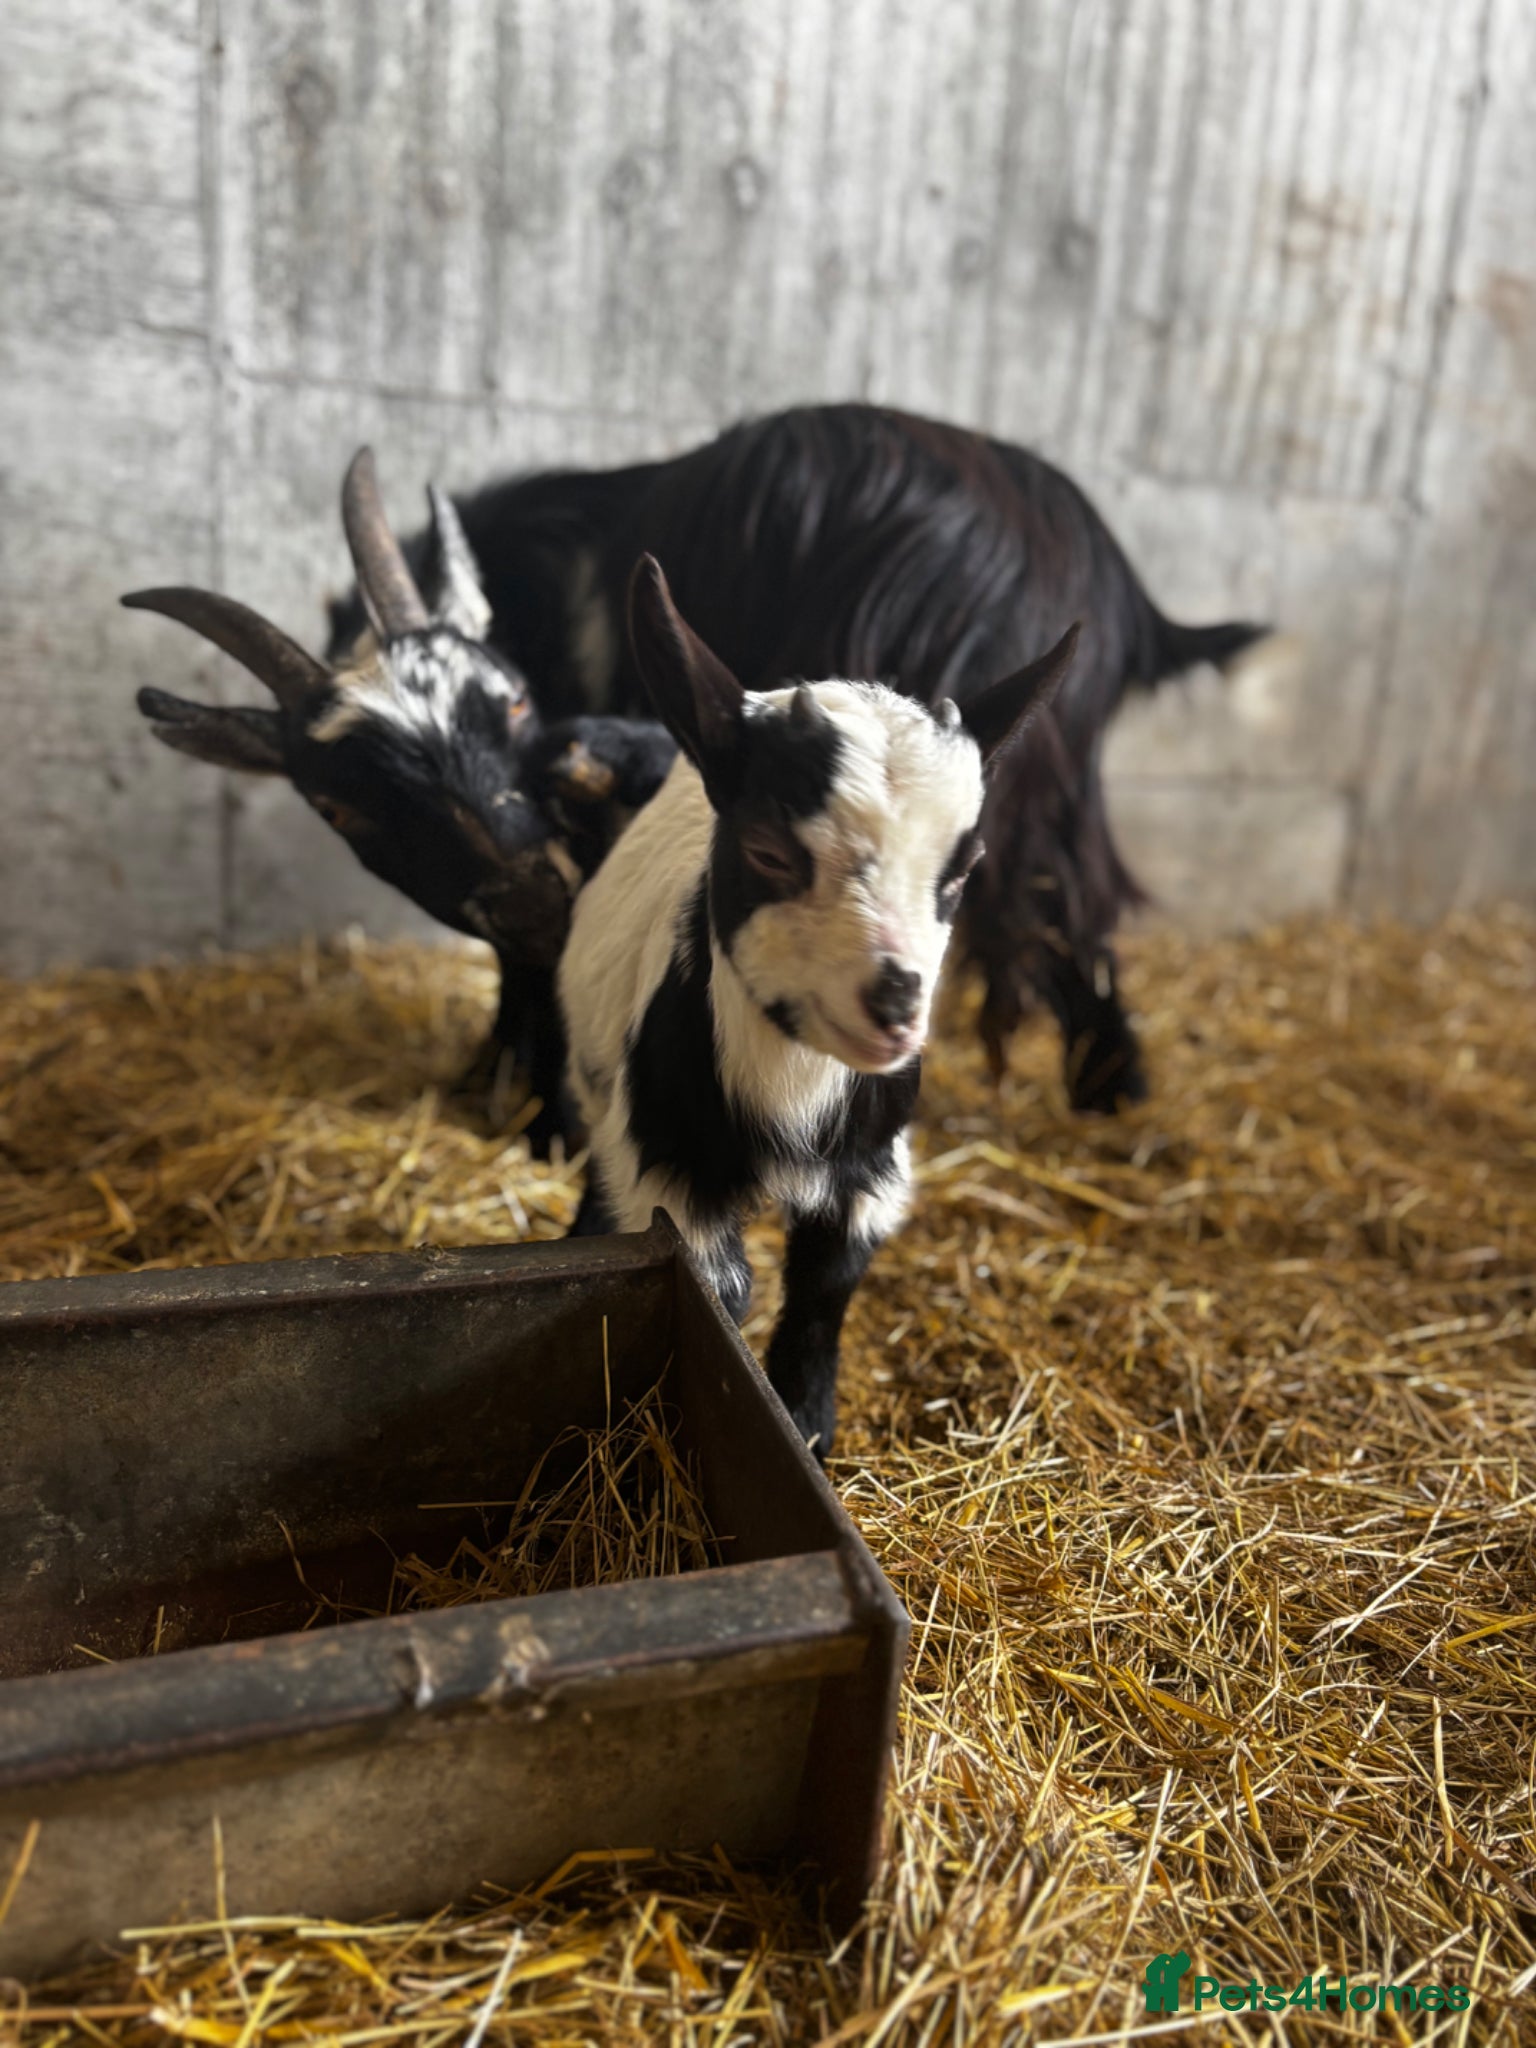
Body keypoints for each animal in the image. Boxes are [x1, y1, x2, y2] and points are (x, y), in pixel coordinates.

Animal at [559, 555, 1080, 1455]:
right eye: (768, 851)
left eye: (963, 868)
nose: (894, 1006)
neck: (793, 1106)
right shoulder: (664, 1157)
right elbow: (718, 1291)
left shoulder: (873, 1166)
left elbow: (827, 1281)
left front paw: (804, 1422)